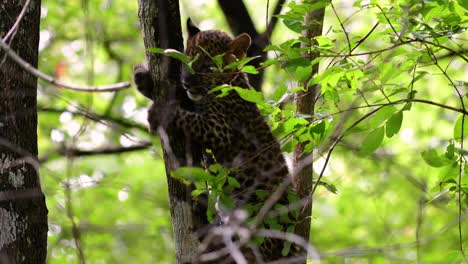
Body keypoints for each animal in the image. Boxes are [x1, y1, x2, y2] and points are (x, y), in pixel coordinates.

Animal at [133, 18, 298, 262]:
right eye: (188, 60)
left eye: (207, 67)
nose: (187, 81)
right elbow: (182, 99)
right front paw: (143, 79)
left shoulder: (219, 129)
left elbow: (186, 117)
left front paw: (160, 112)